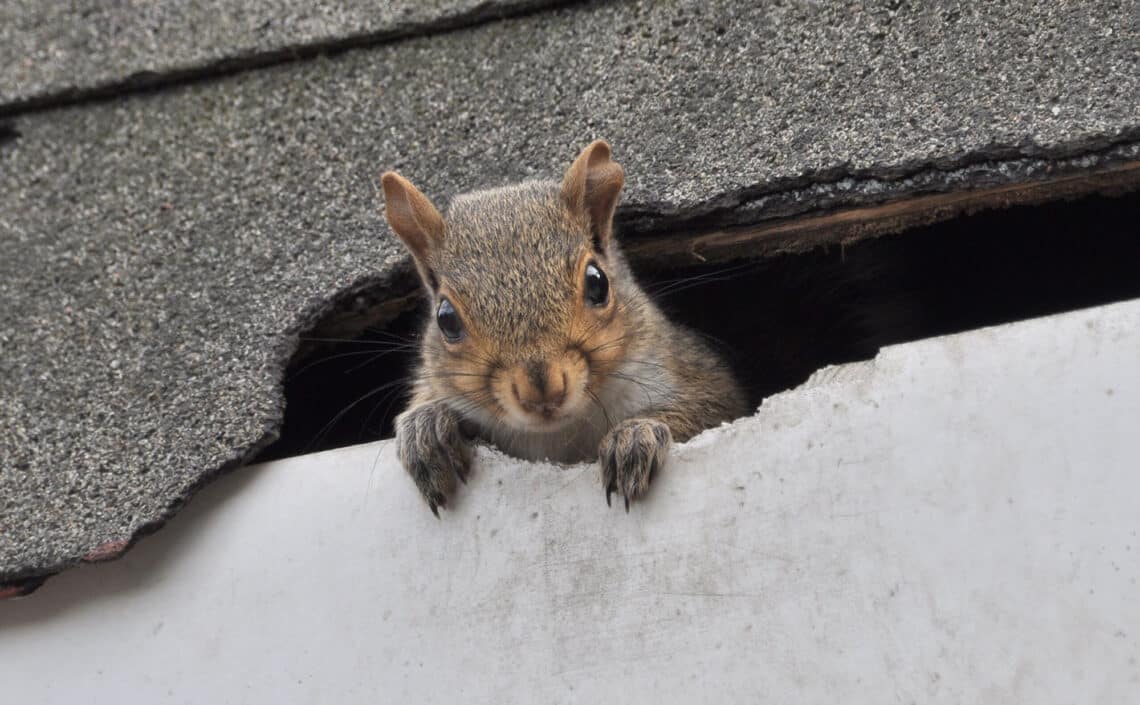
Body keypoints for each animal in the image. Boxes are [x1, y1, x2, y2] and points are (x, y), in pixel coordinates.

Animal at [380, 140, 747, 515]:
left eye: (598, 283)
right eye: (446, 318)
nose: (543, 390)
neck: (558, 436)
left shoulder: (685, 369)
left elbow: (709, 408)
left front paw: (634, 434)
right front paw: (425, 428)